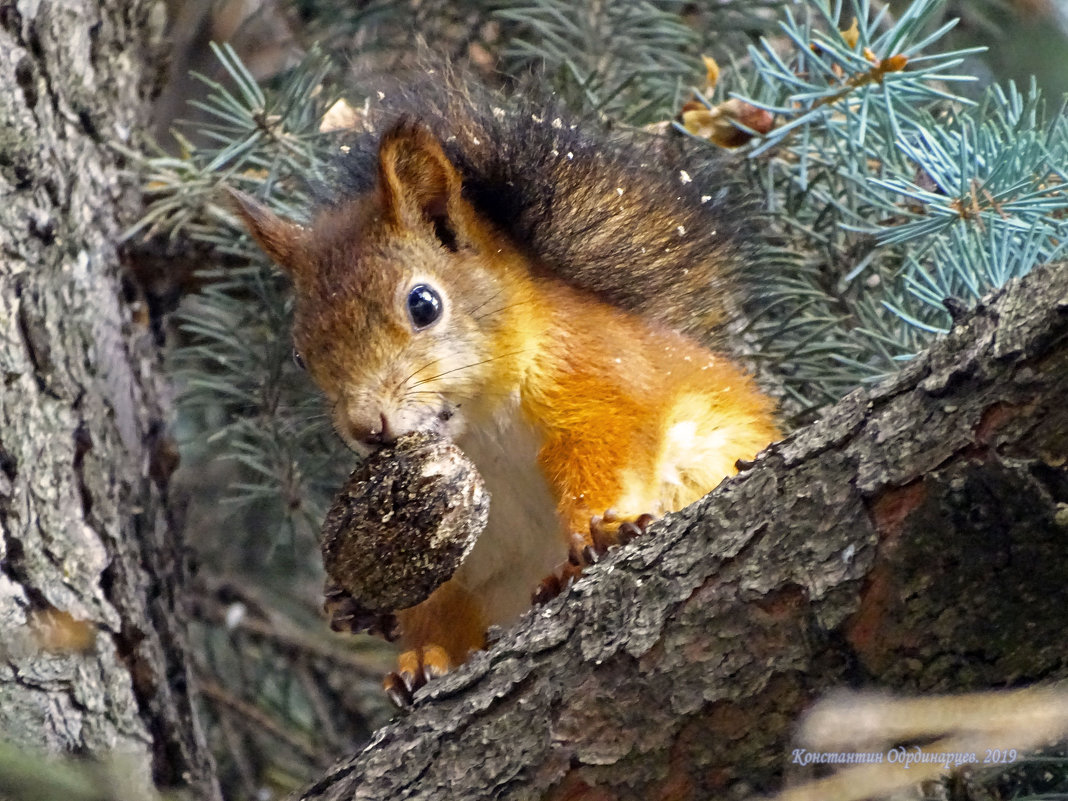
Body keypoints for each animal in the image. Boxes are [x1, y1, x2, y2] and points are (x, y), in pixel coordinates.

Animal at [231, 78, 777, 704]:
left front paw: (604, 527)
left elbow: (609, 452)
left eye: (424, 303)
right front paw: (359, 611)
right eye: (301, 354)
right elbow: (432, 597)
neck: (482, 426)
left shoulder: (600, 377)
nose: (368, 428)